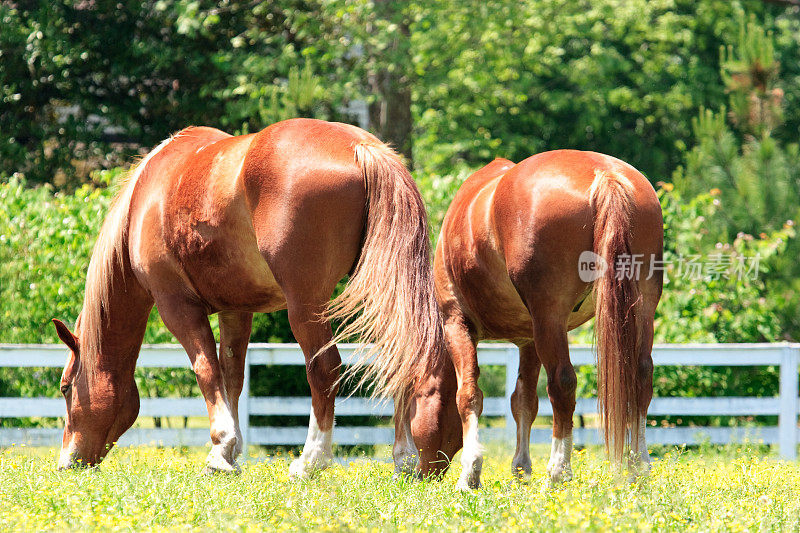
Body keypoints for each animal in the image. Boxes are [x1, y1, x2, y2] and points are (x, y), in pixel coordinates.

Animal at [51, 117, 444, 474]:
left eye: (66, 388)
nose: (67, 462)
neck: (145, 199)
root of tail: (363, 147)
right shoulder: (236, 309)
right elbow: (232, 375)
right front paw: (229, 452)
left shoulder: (176, 304)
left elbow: (206, 369)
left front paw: (221, 447)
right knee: (401, 354)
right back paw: (404, 457)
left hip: (306, 304)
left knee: (324, 368)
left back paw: (311, 460)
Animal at [398, 149, 664, 486]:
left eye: (409, 409)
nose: (412, 471)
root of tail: (605, 174)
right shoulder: (529, 339)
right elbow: (523, 401)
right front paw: (521, 468)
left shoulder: (457, 324)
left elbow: (469, 394)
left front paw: (471, 472)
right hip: (641, 308)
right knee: (641, 376)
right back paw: (637, 466)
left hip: (549, 316)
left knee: (563, 383)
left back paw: (559, 470)